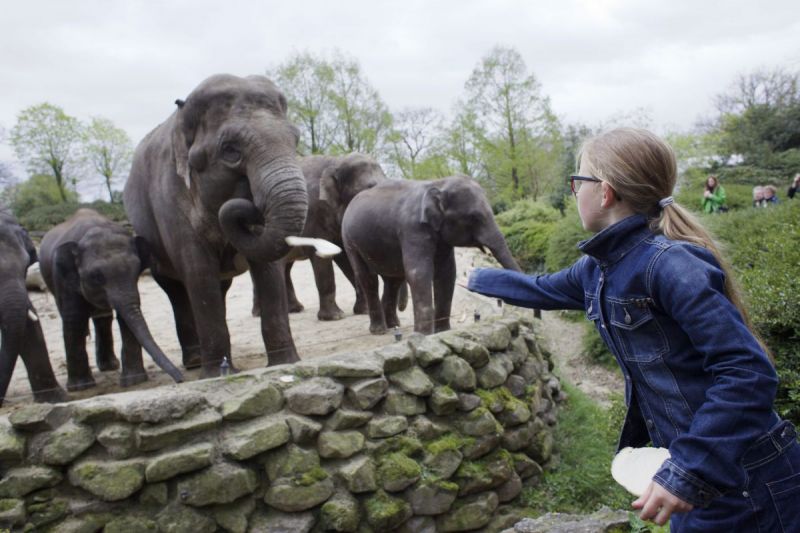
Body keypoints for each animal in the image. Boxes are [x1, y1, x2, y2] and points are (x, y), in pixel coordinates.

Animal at [40, 209, 183, 390]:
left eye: (136, 270)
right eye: (96, 276)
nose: (181, 379)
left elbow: (125, 317)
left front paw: (133, 381)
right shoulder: (63, 278)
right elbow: (74, 318)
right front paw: (81, 387)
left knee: (103, 319)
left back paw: (110, 366)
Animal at [123, 72, 308, 376]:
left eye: (295, 140)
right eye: (230, 151)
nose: (249, 205)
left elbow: (268, 268)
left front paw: (285, 362)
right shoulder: (170, 200)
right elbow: (199, 271)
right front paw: (215, 375)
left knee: (219, 288)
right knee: (176, 289)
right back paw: (197, 362)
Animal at [252, 154, 386, 320]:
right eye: (367, 189)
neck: (336, 162)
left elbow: (344, 256)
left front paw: (363, 311)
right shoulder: (313, 213)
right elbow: (321, 256)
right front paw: (334, 317)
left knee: (285, 267)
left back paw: (294, 309)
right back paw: (261, 313)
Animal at [342, 175, 520, 332]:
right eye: (473, 217)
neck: (437, 184)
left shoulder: (441, 238)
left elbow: (447, 273)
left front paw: (443, 331)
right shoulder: (413, 229)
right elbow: (418, 273)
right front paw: (423, 334)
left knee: (393, 281)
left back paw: (393, 326)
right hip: (349, 242)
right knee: (368, 278)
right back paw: (379, 330)